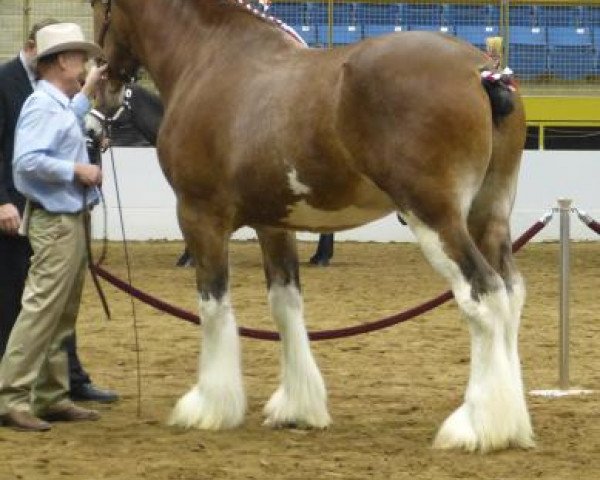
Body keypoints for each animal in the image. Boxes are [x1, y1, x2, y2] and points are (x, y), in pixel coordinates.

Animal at [92, 0, 536, 454]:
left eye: (98, 8)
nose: (103, 84)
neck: (210, 58)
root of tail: (484, 72)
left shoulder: (200, 216)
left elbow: (213, 306)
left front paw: (209, 407)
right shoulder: (274, 224)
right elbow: (285, 306)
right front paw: (297, 407)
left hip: (435, 218)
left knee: (483, 294)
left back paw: (476, 426)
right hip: (488, 215)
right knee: (511, 293)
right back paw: (511, 421)